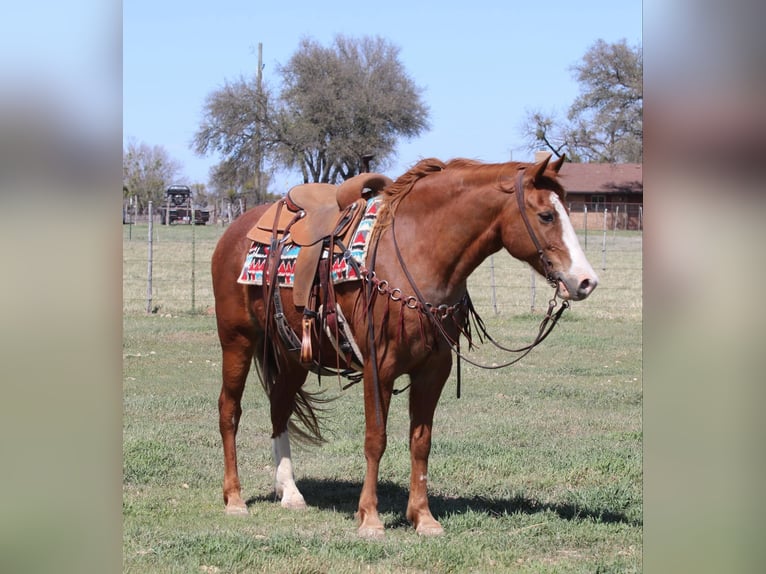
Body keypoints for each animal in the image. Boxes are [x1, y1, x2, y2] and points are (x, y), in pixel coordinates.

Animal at [211, 153, 598, 538]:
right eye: (546, 215)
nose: (586, 281)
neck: (418, 251)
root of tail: (236, 229)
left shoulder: (434, 369)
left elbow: (421, 441)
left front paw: (423, 517)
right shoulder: (377, 367)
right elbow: (375, 439)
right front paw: (369, 517)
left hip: (292, 353)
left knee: (279, 408)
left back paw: (289, 492)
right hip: (237, 340)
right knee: (230, 411)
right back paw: (234, 499)